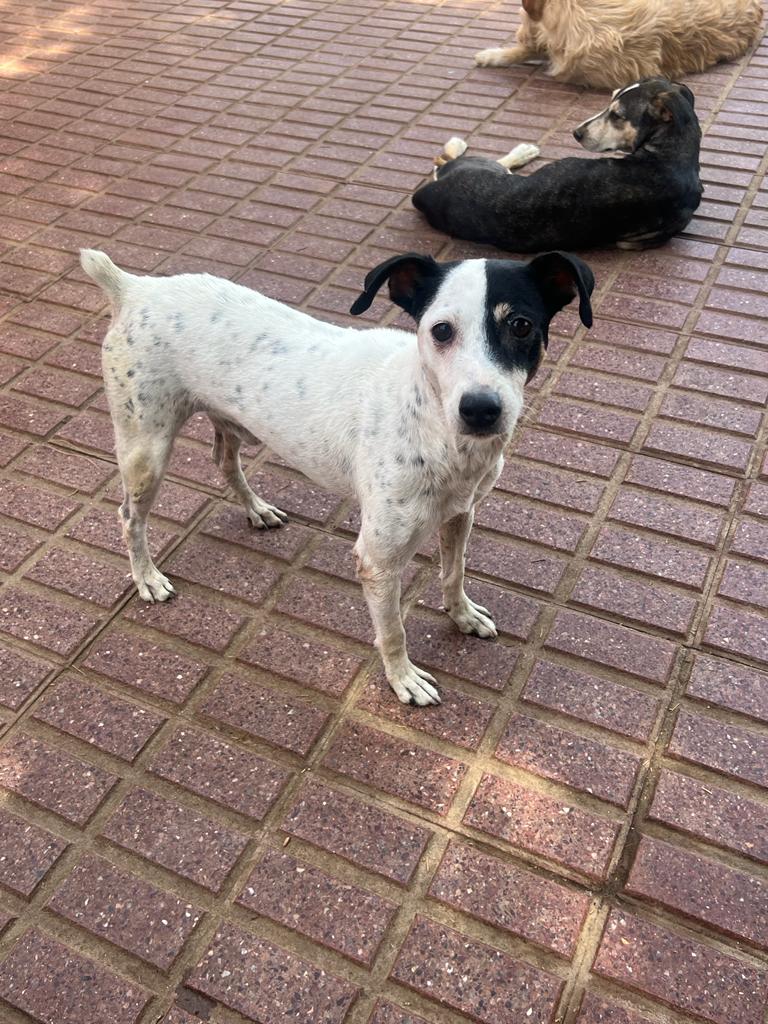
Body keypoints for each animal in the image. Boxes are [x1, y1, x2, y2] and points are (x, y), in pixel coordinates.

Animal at [81, 247, 593, 706]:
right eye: (441, 331)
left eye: (521, 325)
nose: (481, 409)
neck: (432, 422)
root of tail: (135, 287)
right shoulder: (378, 560)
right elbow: (393, 630)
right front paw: (403, 679)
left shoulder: (460, 513)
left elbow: (454, 573)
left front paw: (462, 615)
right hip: (145, 448)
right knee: (129, 517)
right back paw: (147, 577)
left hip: (232, 424)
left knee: (224, 461)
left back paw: (256, 509)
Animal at [412, 78, 703, 253]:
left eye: (618, 116)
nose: (576, 133)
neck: (672, 157)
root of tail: (424, 196)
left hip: (483, 167)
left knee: (453, 161)